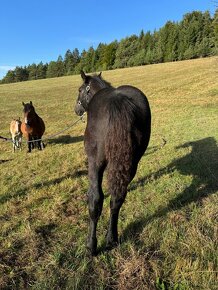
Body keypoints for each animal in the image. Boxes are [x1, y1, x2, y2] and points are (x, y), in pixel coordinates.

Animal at [74, 71, 151, 255]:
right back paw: (111, 239)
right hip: (132, 163)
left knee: (95, 199)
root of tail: (118, 103)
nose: (76, 109)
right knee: (117, 199)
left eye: (80, 90)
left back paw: (91, 246)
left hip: (95, 162)